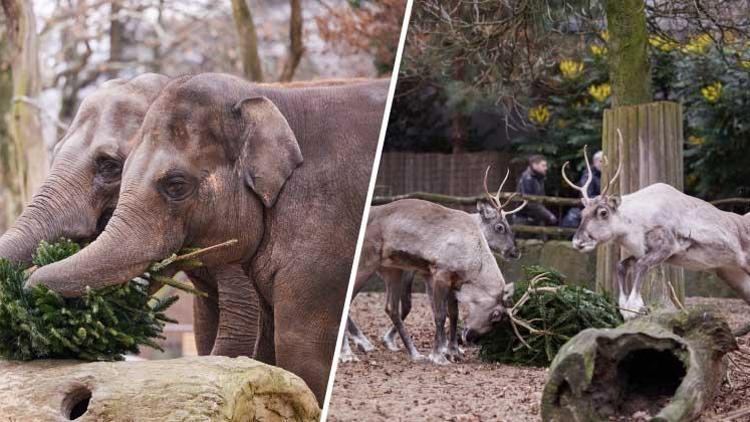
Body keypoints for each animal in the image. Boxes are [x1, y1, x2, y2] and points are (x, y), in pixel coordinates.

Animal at [27, 73, 388, 406]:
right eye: (120, 168)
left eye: (109, 166)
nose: (26, 286)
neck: (268, 97)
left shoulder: (321, 238)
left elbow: (296, 353)